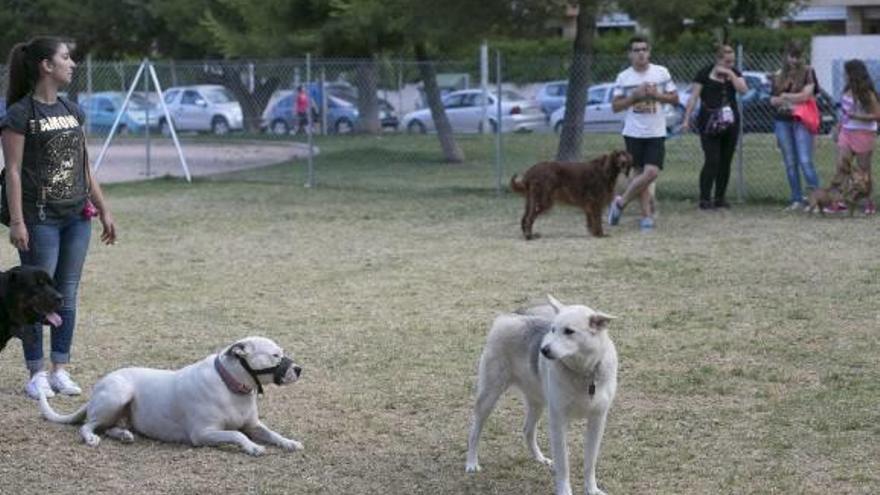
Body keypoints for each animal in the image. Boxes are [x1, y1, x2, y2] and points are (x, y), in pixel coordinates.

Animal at [37, 338, 302, 458]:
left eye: (282, 352)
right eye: (275, 355)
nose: (299, 369)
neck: (231, 386)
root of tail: (100, 385)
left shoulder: (254, 425)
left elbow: (272, 434)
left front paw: (289, 442)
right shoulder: (203, 434)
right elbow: (237, 434)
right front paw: (253, 447)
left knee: (108, 426)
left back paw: (122, 434)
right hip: (118, 394)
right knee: (87, 425)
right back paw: (91, 437)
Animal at [468, 296, 620, 495]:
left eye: (569, 331)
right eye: (552, 330)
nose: (543, 350)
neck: (584, 373)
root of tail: (512, 315)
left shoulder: (597, 420)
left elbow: (590, 461)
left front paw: (592, 489)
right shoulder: (558, 420)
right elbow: (563, 463)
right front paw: (564, 490)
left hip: (537, 402)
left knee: (527, 430)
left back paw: (540, 458)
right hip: (489, 396)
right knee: (475, 431)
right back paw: (471, 462)